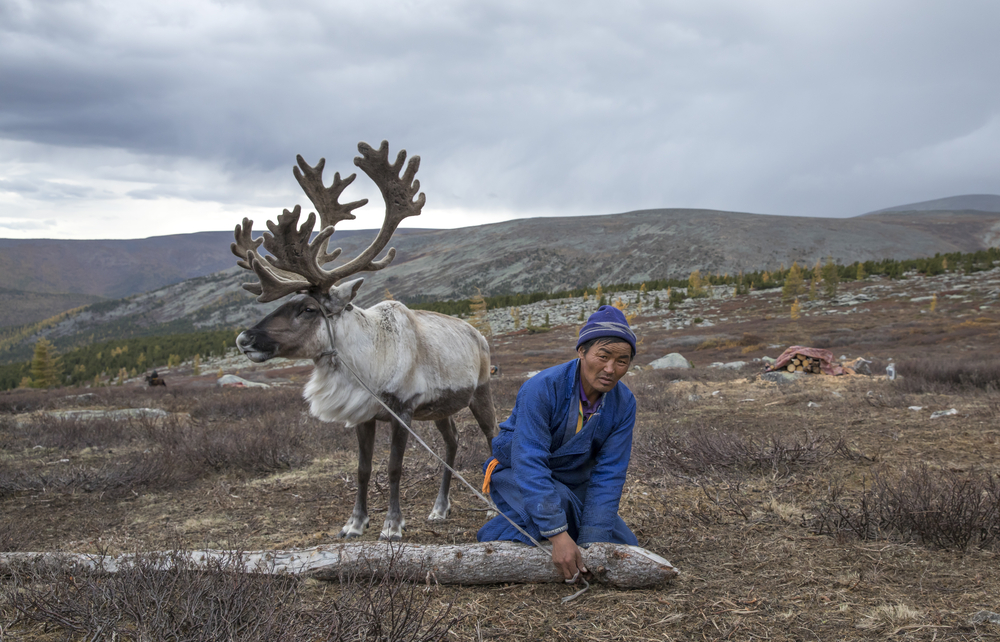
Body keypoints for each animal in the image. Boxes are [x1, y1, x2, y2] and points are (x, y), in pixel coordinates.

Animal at [232, 141, 497, 541]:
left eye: (307, 309)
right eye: (283, 303)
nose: (245, 338)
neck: (370, 359)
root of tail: (478, 334)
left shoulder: (403, 410)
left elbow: (393, 468)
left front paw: (392, 525)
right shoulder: (363, 415)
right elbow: (362, 469)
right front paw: (355, 523)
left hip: (480, 391)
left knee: (493, 438)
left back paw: (495, 504)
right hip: (440, 408)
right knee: (452, 441)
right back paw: (440, 508)